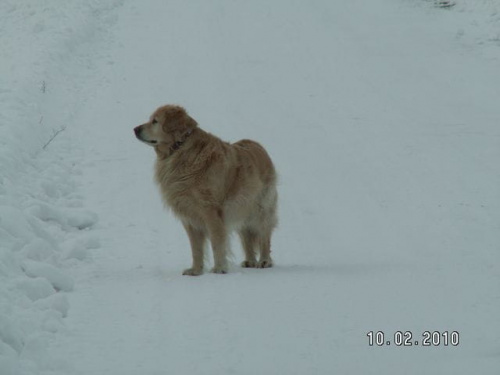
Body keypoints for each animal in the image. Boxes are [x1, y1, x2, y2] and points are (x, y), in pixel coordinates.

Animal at [135, 106, 280, 276]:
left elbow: (217, 242)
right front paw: (195, 270)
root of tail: (258, 146)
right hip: (243, 207)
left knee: (264, 234)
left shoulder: (211, 211)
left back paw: (264, 260)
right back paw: (250, 261)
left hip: (260, 208)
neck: (180, 149)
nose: (135, 129)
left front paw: (219, 268)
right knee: (246, 235)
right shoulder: (189, 215)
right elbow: (196, 248)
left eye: (155, 121)